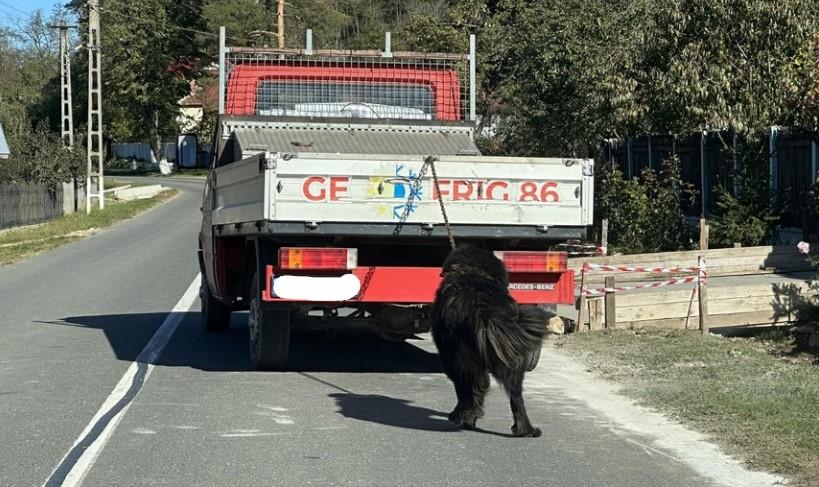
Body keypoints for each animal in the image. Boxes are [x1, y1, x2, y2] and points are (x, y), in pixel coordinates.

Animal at [430, 244, 552, 438]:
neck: (473, 270)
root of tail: (485, 309)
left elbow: (464, 388)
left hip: (458, 355)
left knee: (474, 386)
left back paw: (463, 416)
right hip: (512, 358)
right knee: (516, 396)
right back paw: (525, 430)